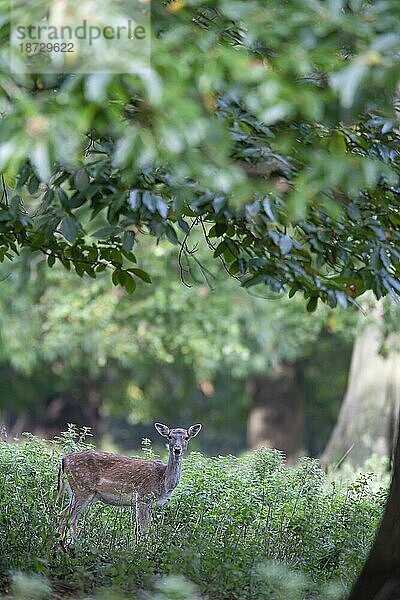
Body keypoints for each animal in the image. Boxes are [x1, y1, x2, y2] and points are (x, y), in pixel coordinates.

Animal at [57, 420, 200, 552]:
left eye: (186, 437)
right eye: (170, 436)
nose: (177, 449)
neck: (163, 482)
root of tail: (64, 460)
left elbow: (146, 527)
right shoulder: (143, 496)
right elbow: (144, 529)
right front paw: (142, 551)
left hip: (79, 492)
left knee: (63, 514)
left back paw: (60, 545)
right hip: (82, 488)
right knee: (71, 518)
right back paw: (74, 547)